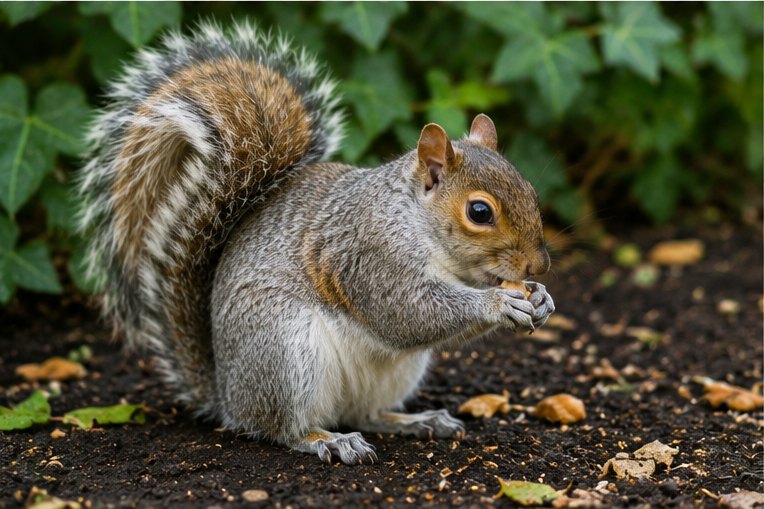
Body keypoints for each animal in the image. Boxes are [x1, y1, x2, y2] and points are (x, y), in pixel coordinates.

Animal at [78, 21, 554, 465]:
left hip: (395, 371)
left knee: (365, 413)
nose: (538, 267)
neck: (416, 221)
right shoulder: (369, 253)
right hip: (286, 351)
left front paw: (540, 298)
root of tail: (227, 395)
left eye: (531, 190)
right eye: (480, 213)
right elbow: (406, 312)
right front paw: (498, 303)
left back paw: (415, 420)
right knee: (282, 428)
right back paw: (328, 440)